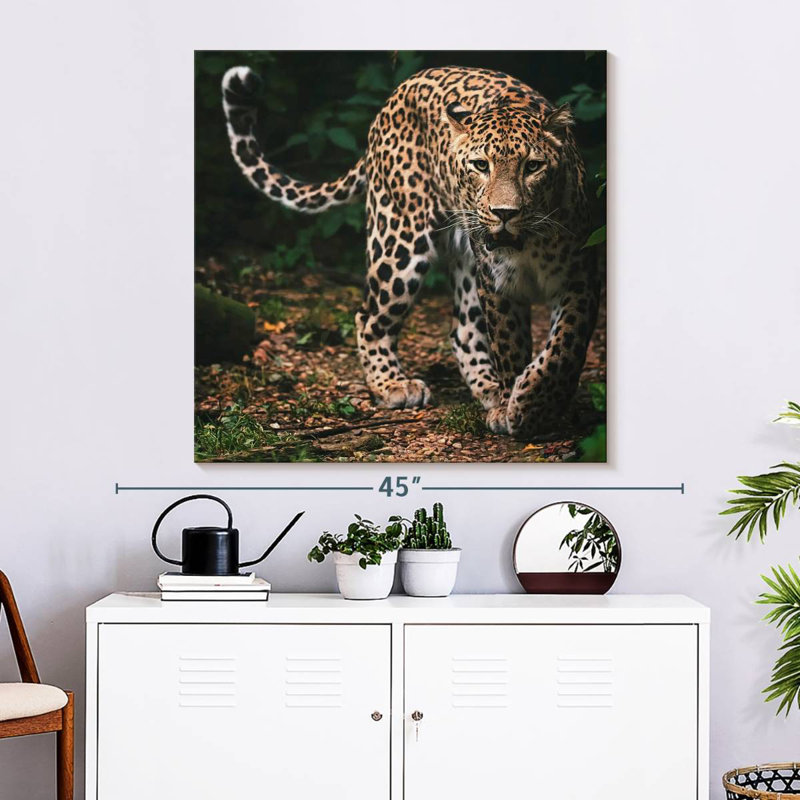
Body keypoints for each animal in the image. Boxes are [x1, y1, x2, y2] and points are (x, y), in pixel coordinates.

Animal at [221, 64, 600, 437]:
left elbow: (565, 347)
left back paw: (489, 391)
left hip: (464, 261)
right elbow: (510, 347)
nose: (504, 213)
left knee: (463, 330)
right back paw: (394, 385)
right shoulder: (497, 285)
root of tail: (397, 93)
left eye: (533, 166)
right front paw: (518, 408)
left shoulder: (580, 277)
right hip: (399, 241)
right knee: (369, 317)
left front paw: (536, 403)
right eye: (481, 165)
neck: (529, 243)